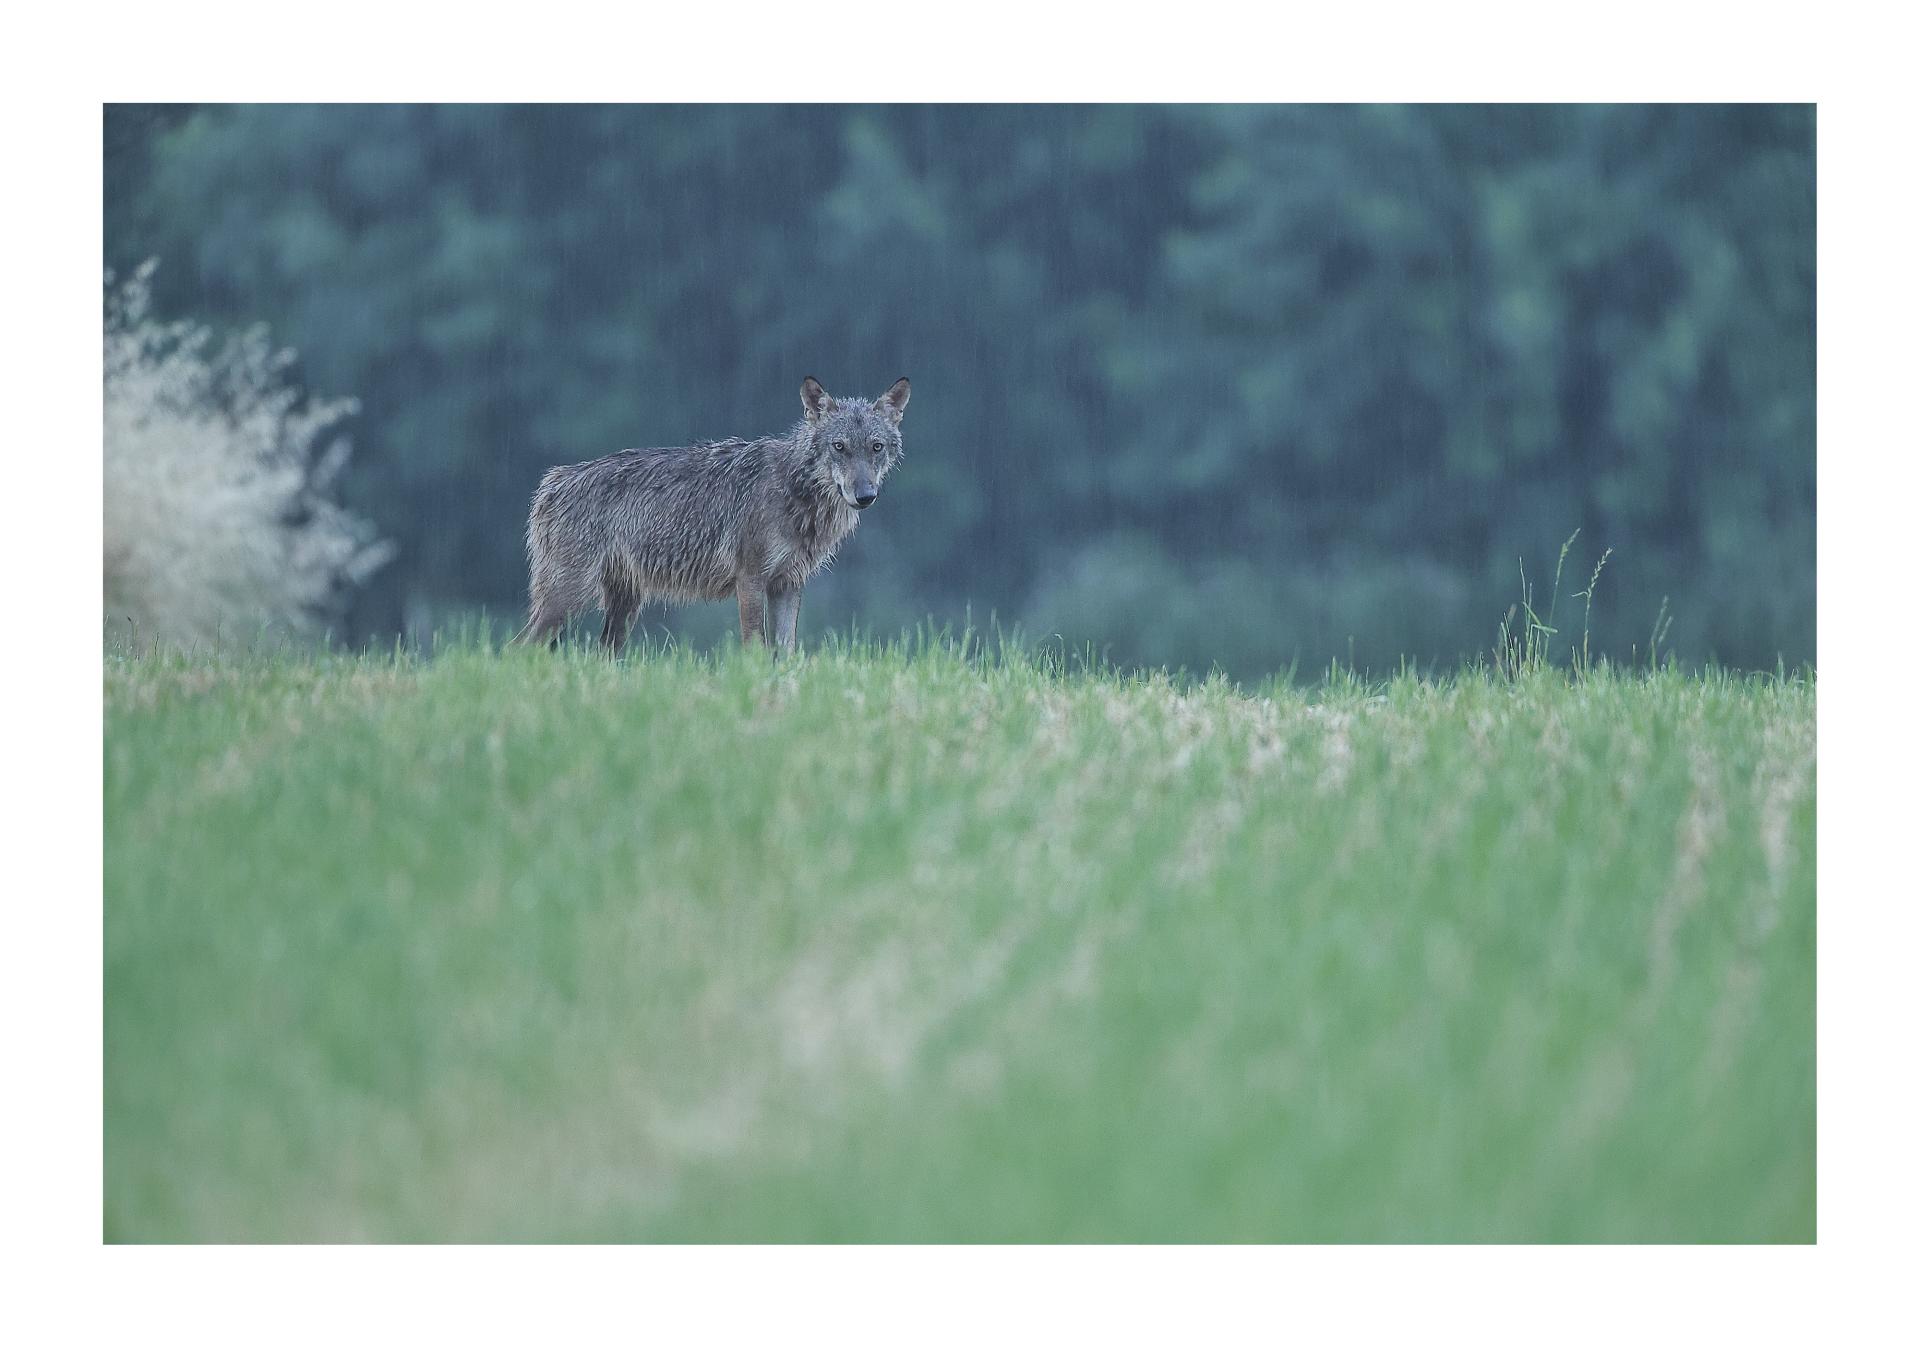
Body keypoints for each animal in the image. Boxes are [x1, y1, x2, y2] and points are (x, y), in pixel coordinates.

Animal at [516, 376, 910, 653]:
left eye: (876, 448)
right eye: (839, 447)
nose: (865, 496)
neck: (796, 490)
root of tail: (553, 482)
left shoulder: (788, 584)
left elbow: (787, 654)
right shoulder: (750, 580)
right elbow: (756, 649)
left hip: (624, 607)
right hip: (569, 598)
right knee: (518, 649)